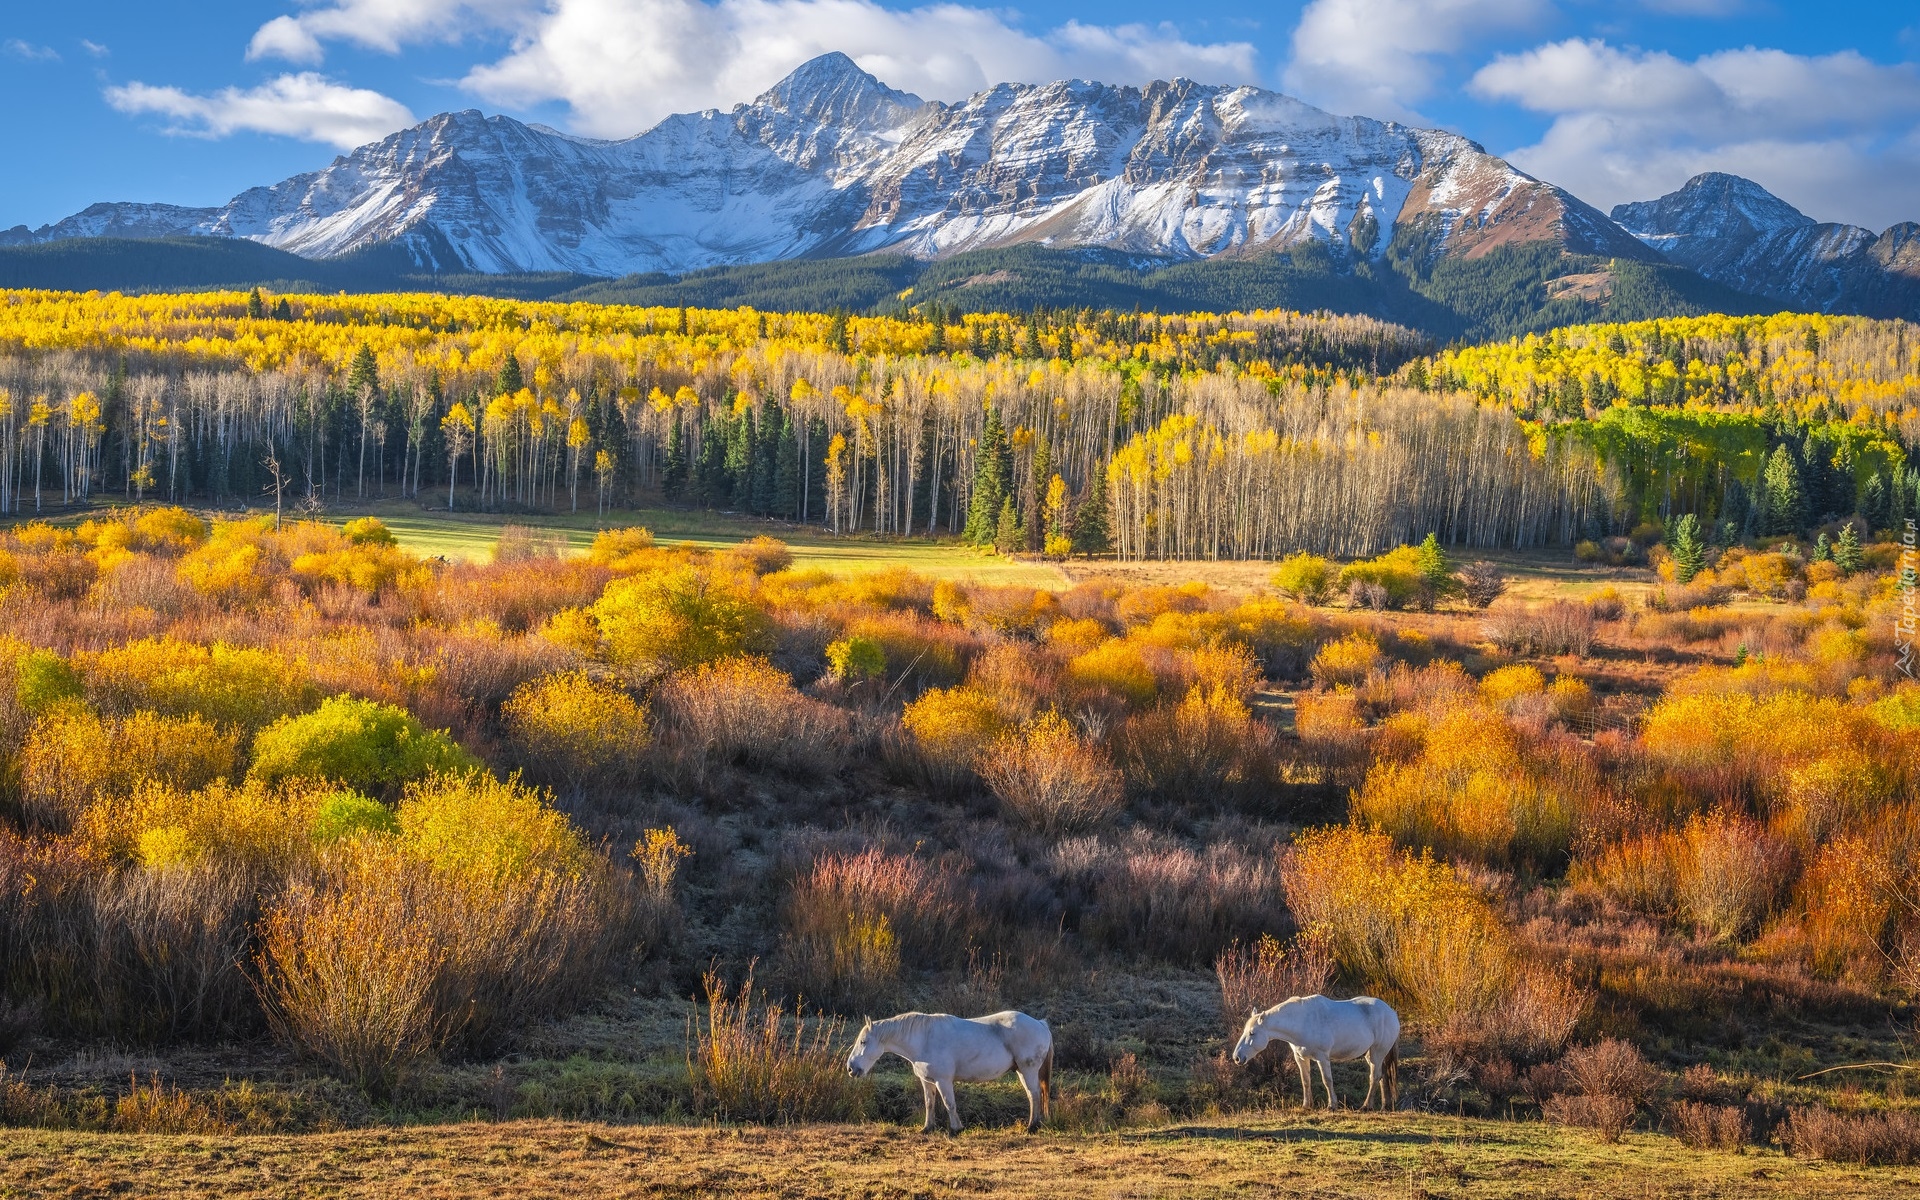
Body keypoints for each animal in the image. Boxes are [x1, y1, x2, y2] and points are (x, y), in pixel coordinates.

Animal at [848, 1013, 1059, 1128]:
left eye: (863, 1042)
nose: (851, 1069)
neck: (924, 1039)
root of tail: (1040, 1023)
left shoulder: (943, 1081)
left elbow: (949, 1104)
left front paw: (956, 1129)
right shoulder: (928, 1081)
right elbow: (929, 1103)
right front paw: (927, 1128)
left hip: (1027, 1070)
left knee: (1034, 1095)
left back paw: (1032, 1126)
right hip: (1022, 1071)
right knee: (1035, 1095)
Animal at [1236, 990, 1405, 1113]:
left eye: (1252, 1033)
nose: (1237, 1057)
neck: (1302, 1022)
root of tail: (1391, 1012)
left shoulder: (1322, 1058)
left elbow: (1327, 1080)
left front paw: (1332, 1105)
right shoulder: (1301, 1058)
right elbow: (1306, 1081)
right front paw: (1306, 1105)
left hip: (1377, 1052)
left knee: (1374, 1077)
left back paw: (1366, 1106)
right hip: (1373, 1055)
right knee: (1382, 1077)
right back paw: (1384, 1105)